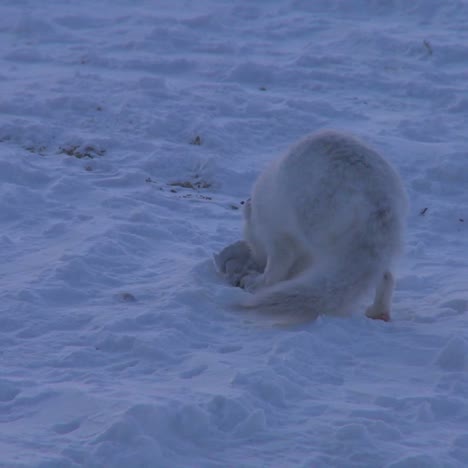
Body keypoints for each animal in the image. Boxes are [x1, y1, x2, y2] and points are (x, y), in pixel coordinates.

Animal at [236, 130, 408, 324]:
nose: (257, 261)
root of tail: (379, 202)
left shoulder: (276, 234)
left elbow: (278, 266)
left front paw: (257, 283)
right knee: (386, 275)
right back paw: (378, 312)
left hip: (318, 223)